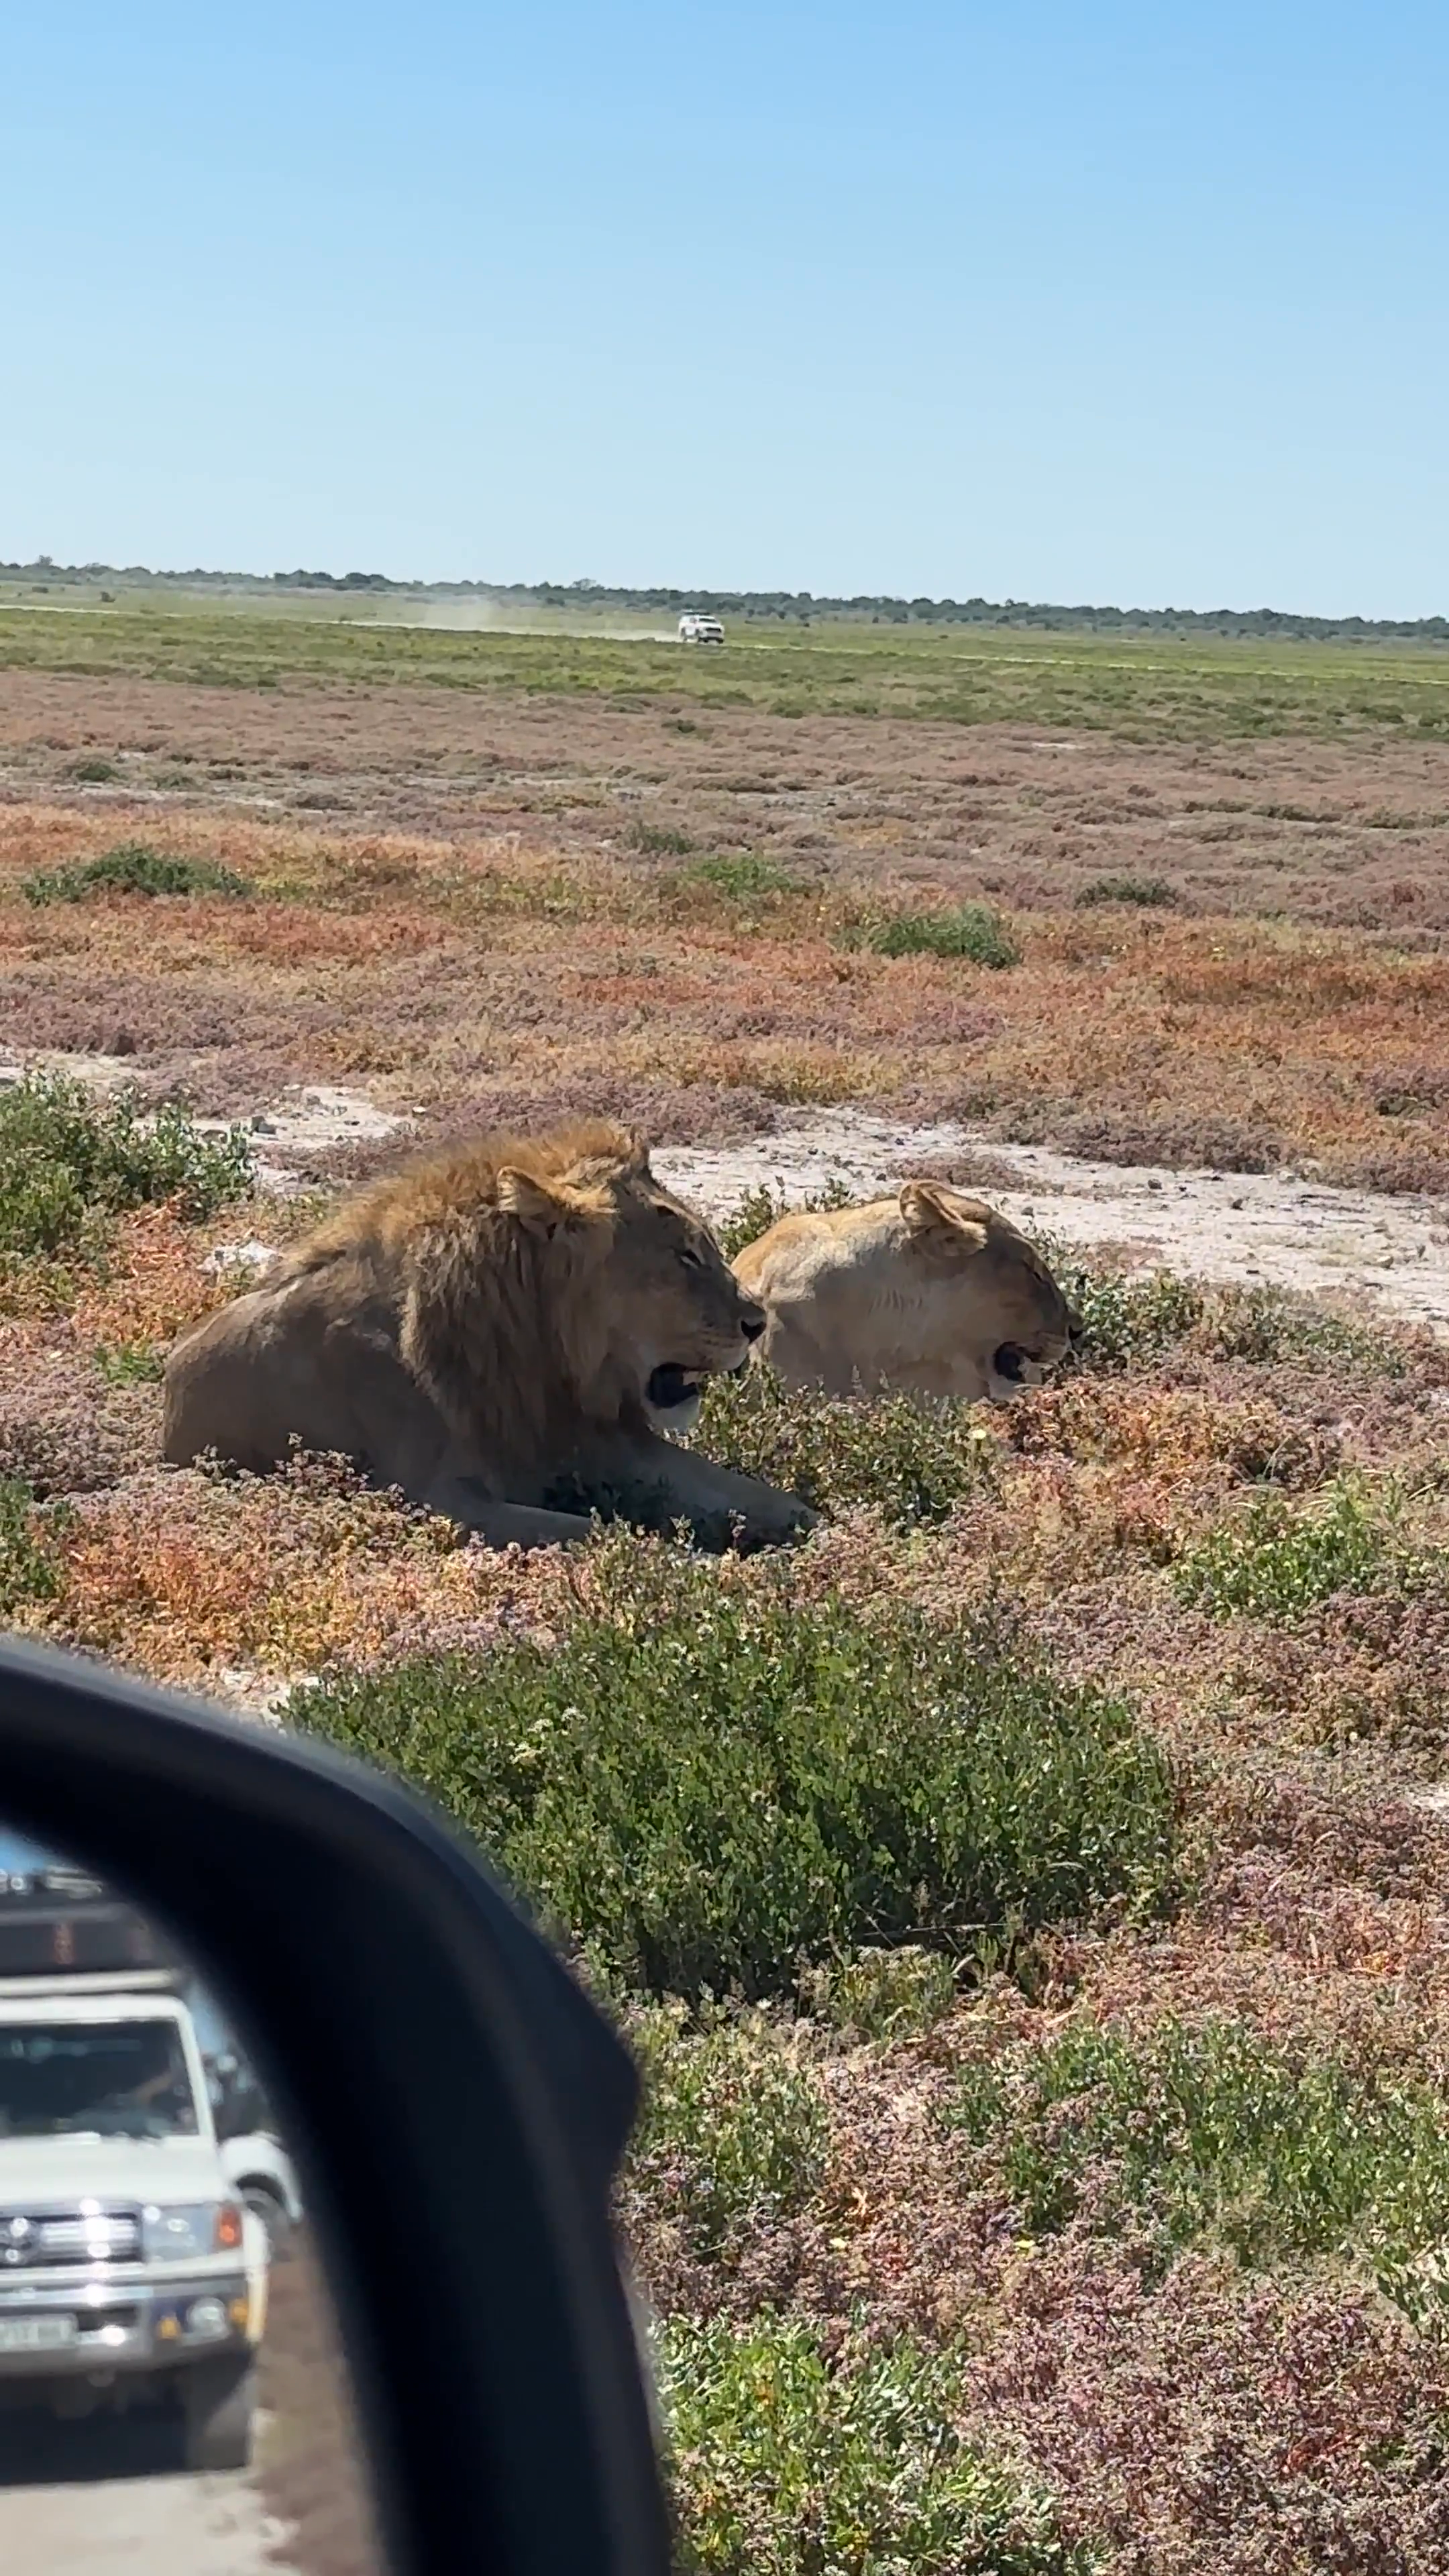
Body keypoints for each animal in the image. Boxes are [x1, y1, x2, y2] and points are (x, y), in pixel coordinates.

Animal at [163, 1121, 814, 1551]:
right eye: (684, 1256)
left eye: (707, 1246)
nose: (757, 1324)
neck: (541, 1351)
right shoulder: (438, 1498)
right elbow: (596, 1532)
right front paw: (679, 1556)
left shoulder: (602, 1440)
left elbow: (737, 1487)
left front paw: (803, 1525)